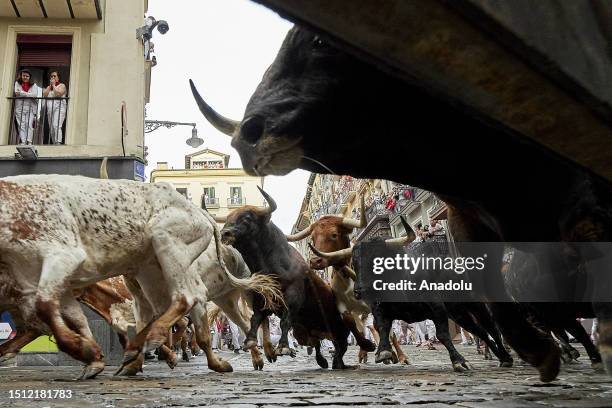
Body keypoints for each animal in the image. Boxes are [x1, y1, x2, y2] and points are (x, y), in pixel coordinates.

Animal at [0, 175, 282, 380]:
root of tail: (204, 217)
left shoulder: (62, 257)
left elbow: (46, 307)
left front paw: (87, 352)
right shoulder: (47, 283)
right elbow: (73, 317)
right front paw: (95, 357)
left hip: (170, 245)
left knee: (202, 302)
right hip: (161, 274)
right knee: (227, 319)